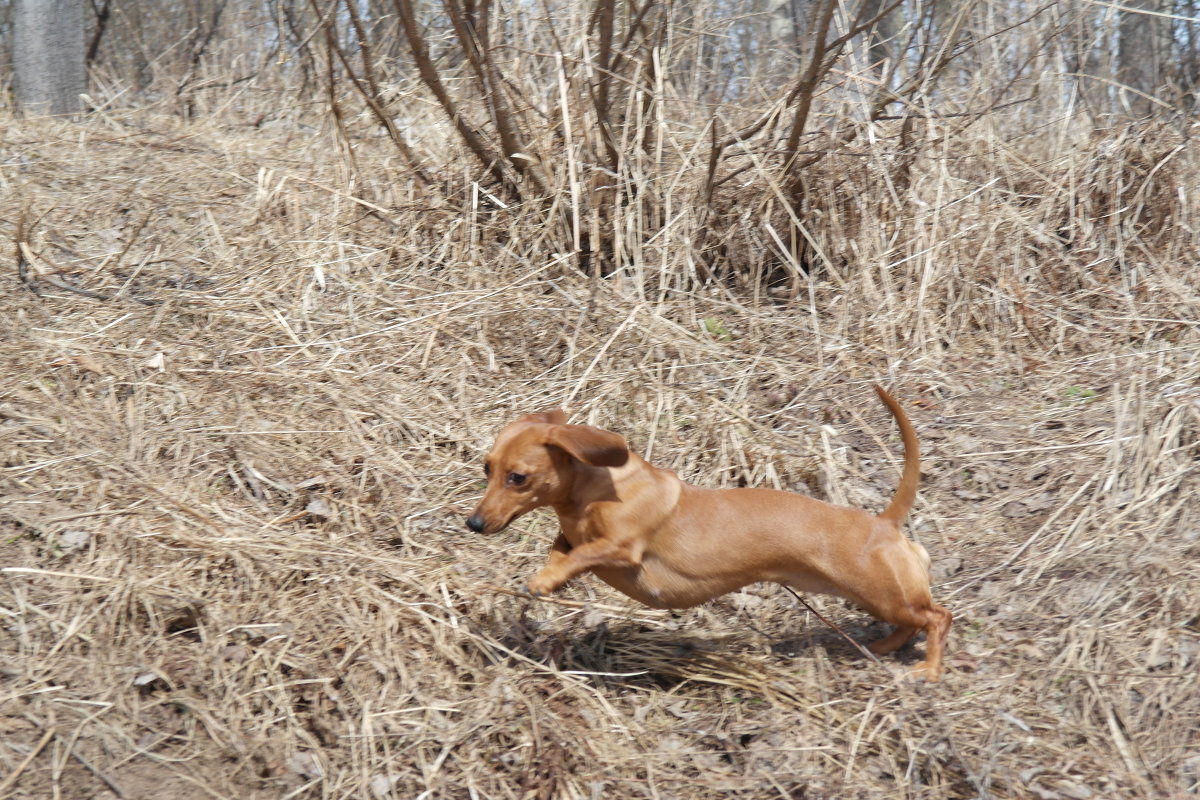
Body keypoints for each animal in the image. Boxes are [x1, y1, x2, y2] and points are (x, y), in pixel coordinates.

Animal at [463, 383, 950, 681]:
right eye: (487, 469)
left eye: (518, 478)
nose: (474, 523)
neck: (592, 491)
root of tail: (883, 523)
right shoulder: (573, 536)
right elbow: (562, 548)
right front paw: (551, 574)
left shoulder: (622, 548)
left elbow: (581, 554)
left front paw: (545, 580)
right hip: (878, 597)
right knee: (912, 622)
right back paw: (886, 646)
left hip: (879, 591)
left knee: (937, 618)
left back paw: (928, 669)